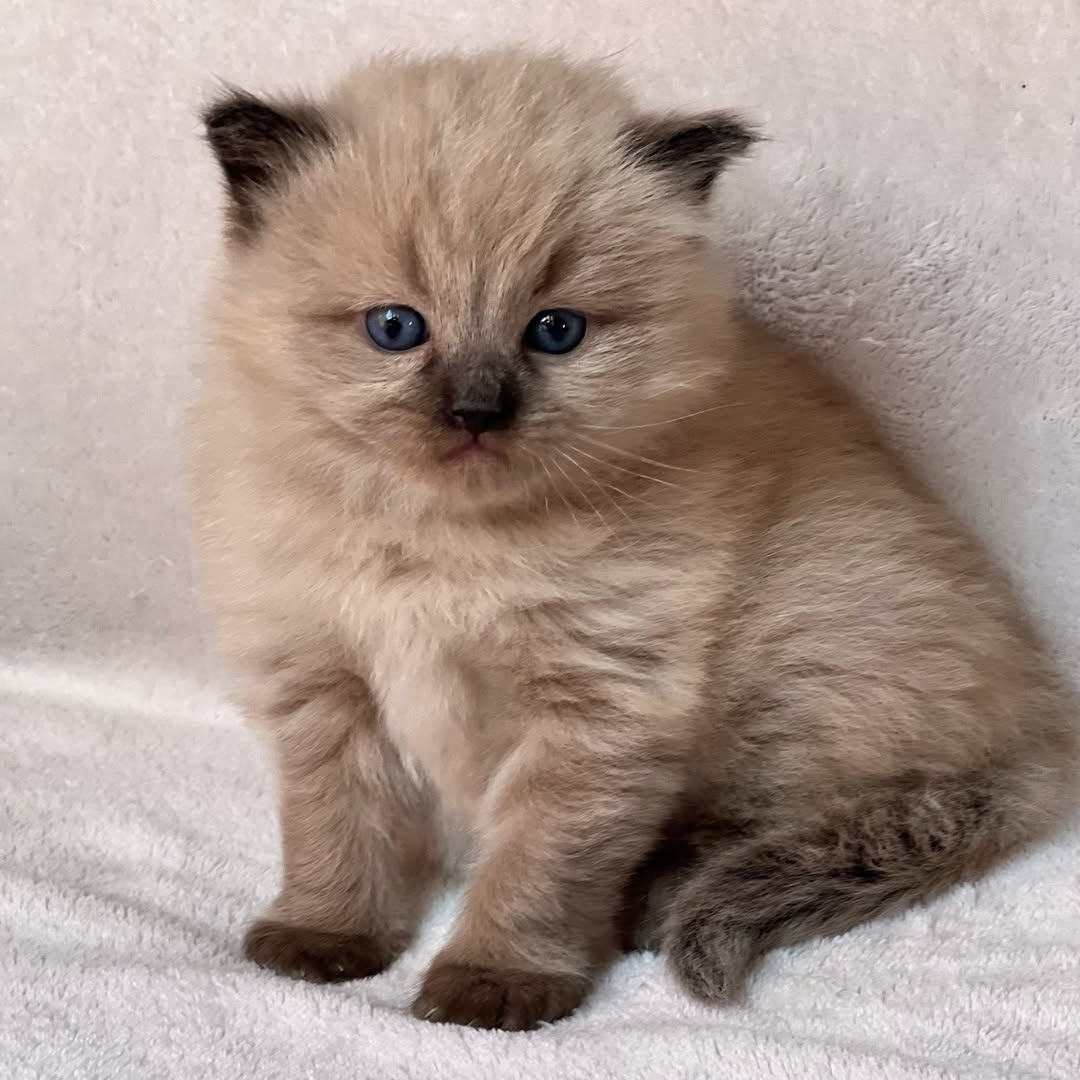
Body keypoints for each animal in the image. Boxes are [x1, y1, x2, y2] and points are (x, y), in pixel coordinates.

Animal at [193, 49, 1076, 1030]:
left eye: (556, 331)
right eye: (396, 327)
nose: (477, 411)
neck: (451, 546)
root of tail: (1042, 729)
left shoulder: (600, 703)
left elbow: (539, 864)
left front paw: (494, 983)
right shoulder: (325, 679)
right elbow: (337, 827)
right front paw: (326, 938)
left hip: (803, 656)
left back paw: (653, 902)